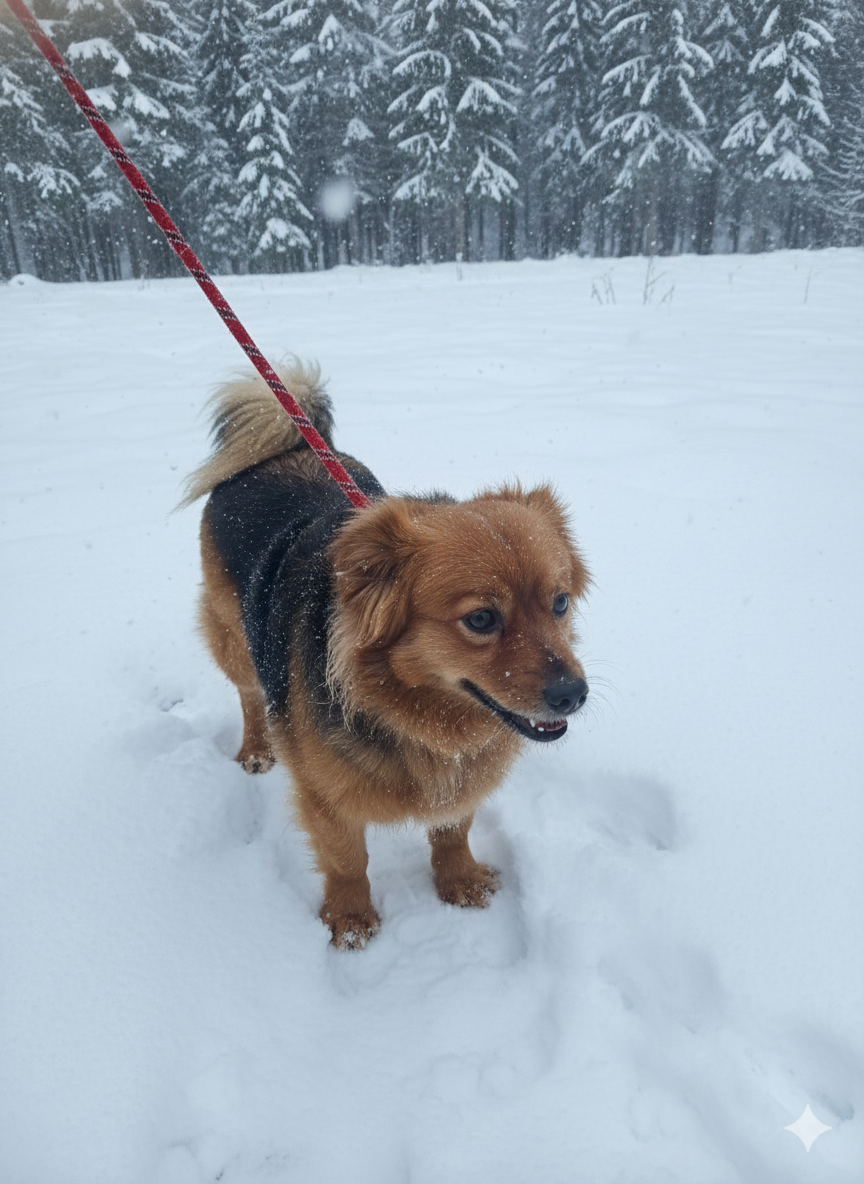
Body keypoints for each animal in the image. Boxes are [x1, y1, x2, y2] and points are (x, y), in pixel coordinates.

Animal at [183, 361, 590, 948]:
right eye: (481, 619)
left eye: (560, 603)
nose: (574, 695)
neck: (410, 712)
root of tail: (287, 445)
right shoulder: (324, 796)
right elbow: (347, 860)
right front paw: (352, 922)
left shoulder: (457, 775)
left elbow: (453, 828)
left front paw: (459, 880)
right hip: (234, 640)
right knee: (249, 695)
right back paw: (257, 749)